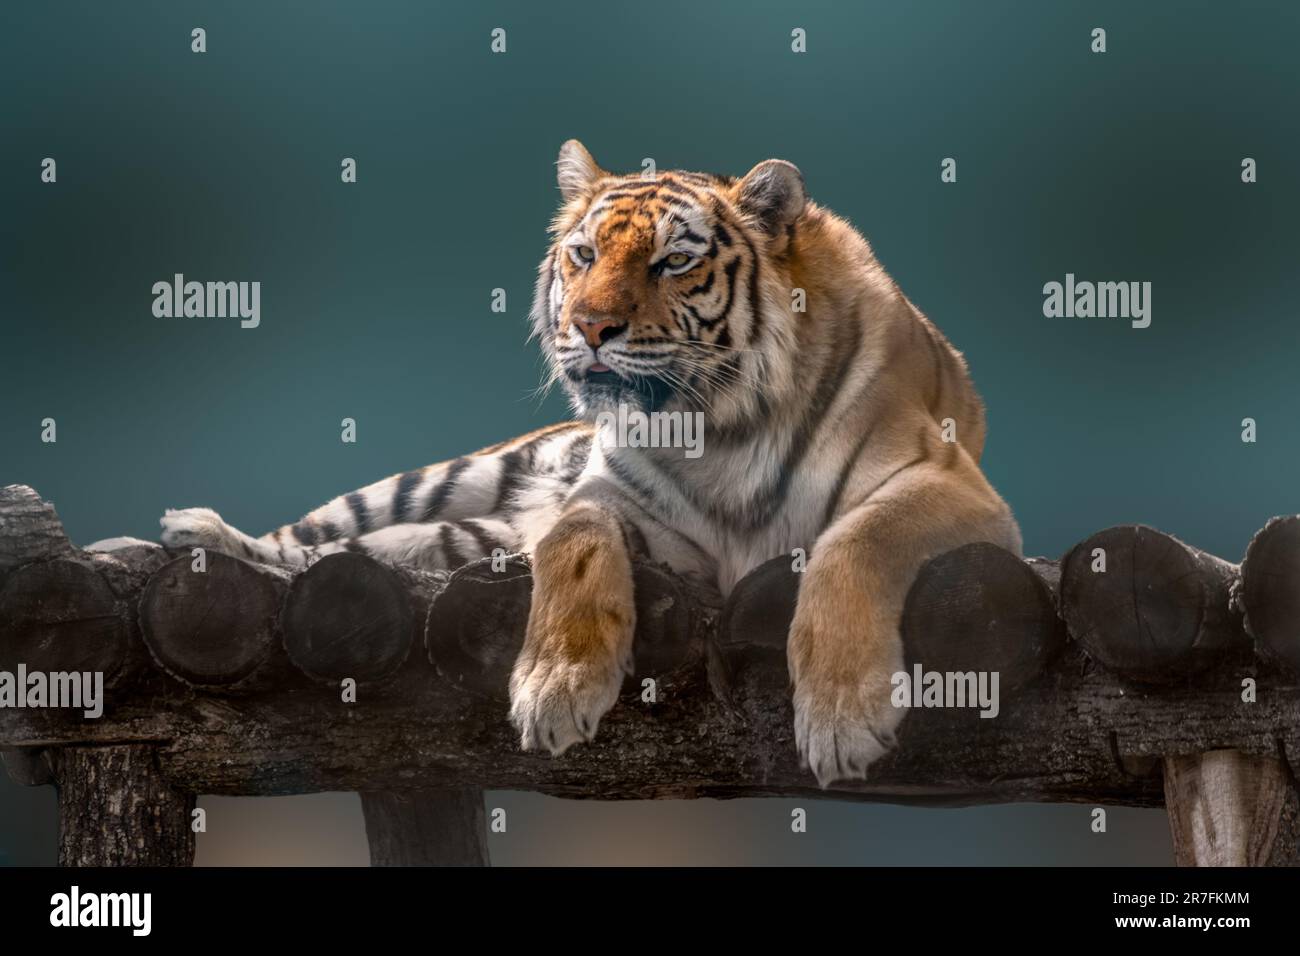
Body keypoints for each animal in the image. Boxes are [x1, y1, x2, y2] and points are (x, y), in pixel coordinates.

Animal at [159, 140, 1024, 785]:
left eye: (672, 262)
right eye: (582, 253)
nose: (589, 325)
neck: (719, 432)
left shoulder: (952, 485)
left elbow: (856, 541)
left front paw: (843, 717)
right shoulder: (611, 499)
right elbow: (573, 544)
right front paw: (555, 688)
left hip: (455, 536)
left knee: (343, 555)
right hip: (446, 481)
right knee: (307, 539)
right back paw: (188, 532)